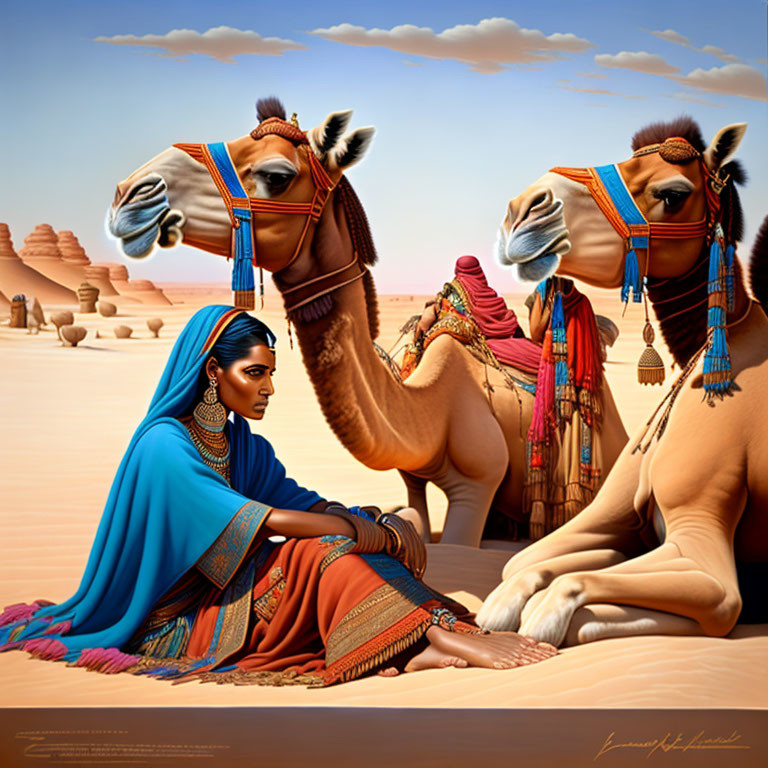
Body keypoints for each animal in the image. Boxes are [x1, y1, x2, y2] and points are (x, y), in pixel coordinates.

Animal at [105, 97, 628, 544]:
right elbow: (414, 516)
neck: (431, 408)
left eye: (276, 174)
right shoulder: (414, 474)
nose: (130, 194)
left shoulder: (478, 484)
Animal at [480, 117, 768, 644]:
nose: (523, 212)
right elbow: (523, 564)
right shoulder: (618, 523)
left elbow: (717, 601)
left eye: (673, 194)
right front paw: (504, 605)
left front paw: (543, 617)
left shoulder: (702, 545)